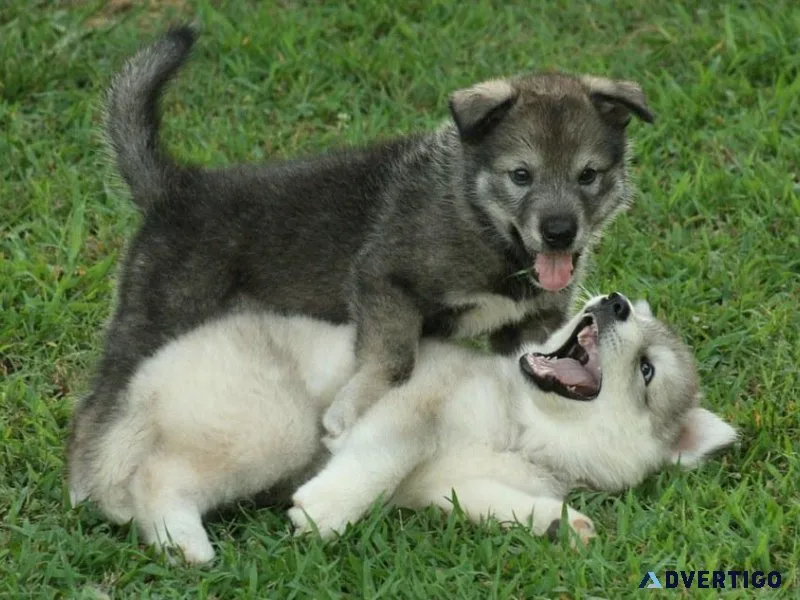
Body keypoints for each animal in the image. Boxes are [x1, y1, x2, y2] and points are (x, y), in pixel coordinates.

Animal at [68, 26, 655, 494]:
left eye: (588, 175)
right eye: (521, 175)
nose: (559, 233)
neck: (477, 219)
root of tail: (177, 190)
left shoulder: (529, 324)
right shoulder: (383, 280)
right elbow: (393, 358)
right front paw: (349, 410)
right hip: (157, 317)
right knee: (97, 402)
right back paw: (82, 482)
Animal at [68, 292, 736, 563]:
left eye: (648, 369)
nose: (614, 302)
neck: (525, 429)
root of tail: (142, 382)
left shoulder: (446, 485)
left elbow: (498, 503)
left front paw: (558, 524)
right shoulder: (414, 400)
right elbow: (378, 457)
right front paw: (325, 511)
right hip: (277, 427)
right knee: (157, 477)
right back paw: (184, 539)